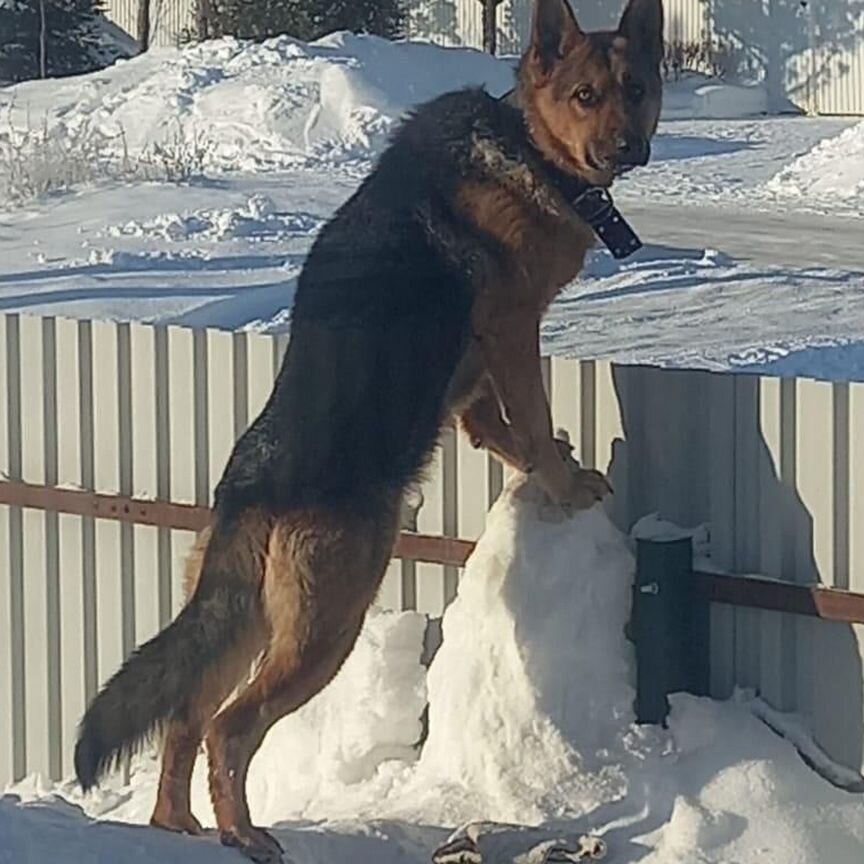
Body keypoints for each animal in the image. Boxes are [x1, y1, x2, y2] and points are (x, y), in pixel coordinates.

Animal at [76, 3, 660, 860]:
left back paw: (177, 827)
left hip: (245, 623)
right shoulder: (511, 328)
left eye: (636, 88)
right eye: (586, 94)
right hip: (329, 624)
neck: (525, 148)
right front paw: (560, 481)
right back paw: (245, 834)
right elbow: (533, 419)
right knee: (229, 728)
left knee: (185, 717)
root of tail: (252, 487)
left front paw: (545, 464)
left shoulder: (471, 378)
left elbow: (497, 428)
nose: (627, 146)